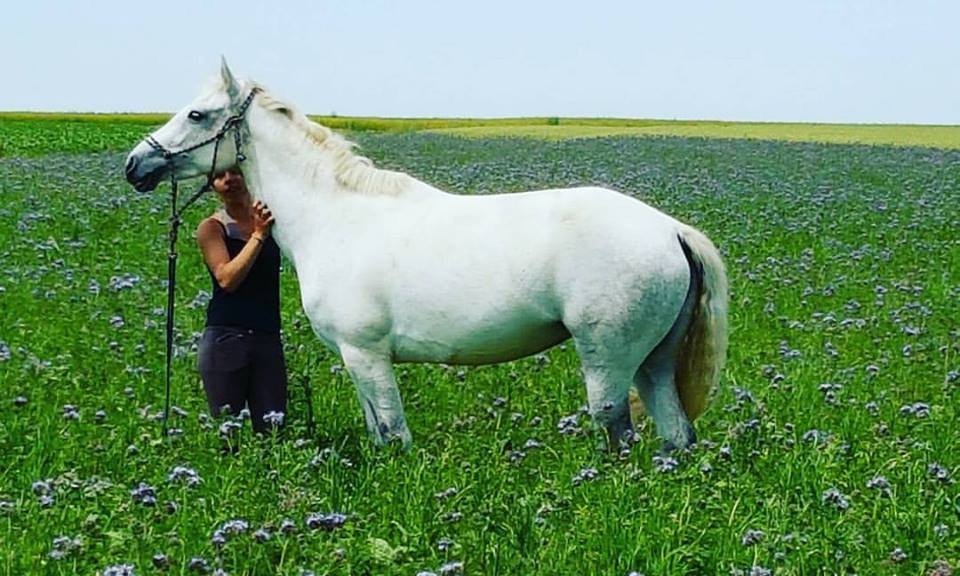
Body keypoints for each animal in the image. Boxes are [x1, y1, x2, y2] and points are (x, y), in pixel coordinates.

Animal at [125, 60, 728, 452]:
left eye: (198, 115)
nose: (136, 165)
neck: (334, 216)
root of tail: (670, 230)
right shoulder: (357, 360)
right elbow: (379, 434)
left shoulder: (366, 355)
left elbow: (394, 436)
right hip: (653, 363)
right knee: (676, 436)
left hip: (610, 362)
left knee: (618, 433)